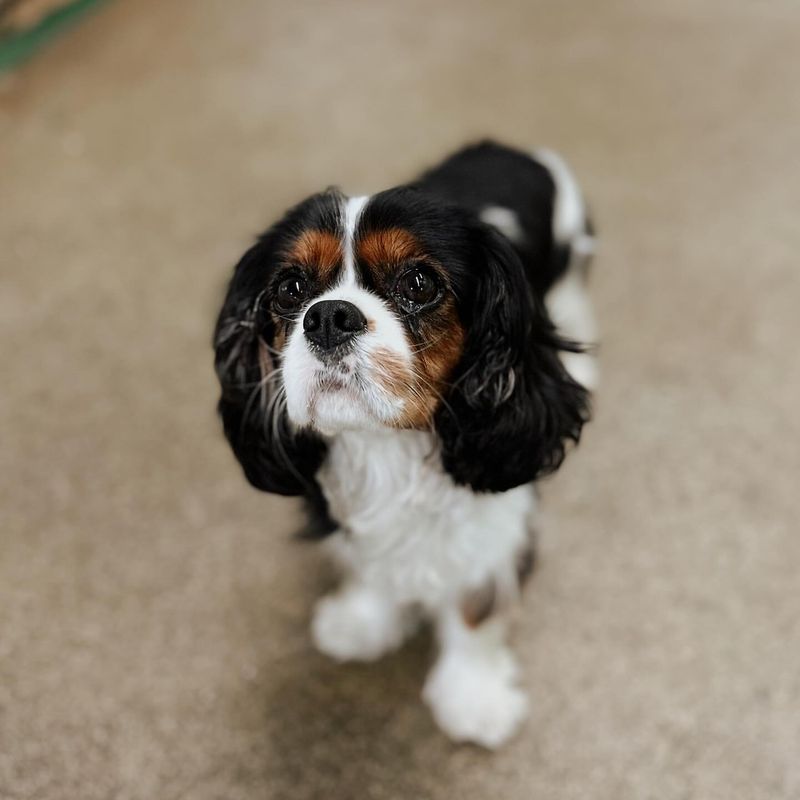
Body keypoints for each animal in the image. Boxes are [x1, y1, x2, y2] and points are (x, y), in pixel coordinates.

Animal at [212, 141, 592, 748]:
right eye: (291, 289)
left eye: (418, 283)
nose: (328, 315)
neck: (386, 447)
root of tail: (504, 147)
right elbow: (373, 564)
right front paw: (363, 623)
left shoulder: (497, 522)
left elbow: (475, 607)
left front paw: (474, 699)